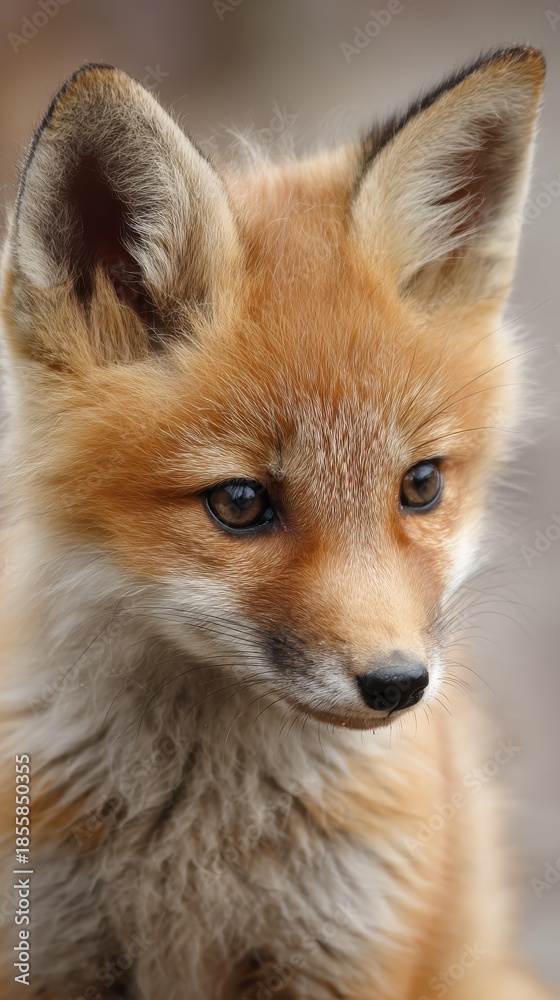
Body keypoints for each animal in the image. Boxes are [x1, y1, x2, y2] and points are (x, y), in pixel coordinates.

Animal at [0, 46, 555, 1000]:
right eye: (240, 503)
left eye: (420, 485)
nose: (399, 684)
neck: (198, 825)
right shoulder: (47, 943)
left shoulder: (345, 946)